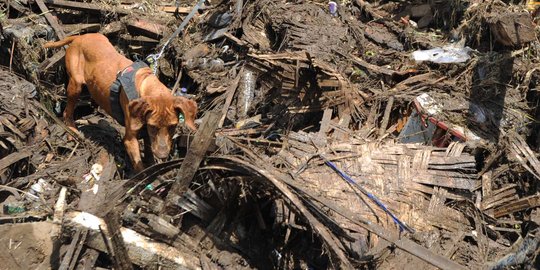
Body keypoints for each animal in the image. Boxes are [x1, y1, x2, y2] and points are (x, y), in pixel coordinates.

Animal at [43, 33, 196, 171]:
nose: (163, 155)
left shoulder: (147, 134)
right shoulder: (130, 139)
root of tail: (79, 37)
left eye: (173, 126)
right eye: (153, 126)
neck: (146, 84)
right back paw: (72, 131)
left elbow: (149, 156)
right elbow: (139, 167)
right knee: (67, 111)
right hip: (76, 84)